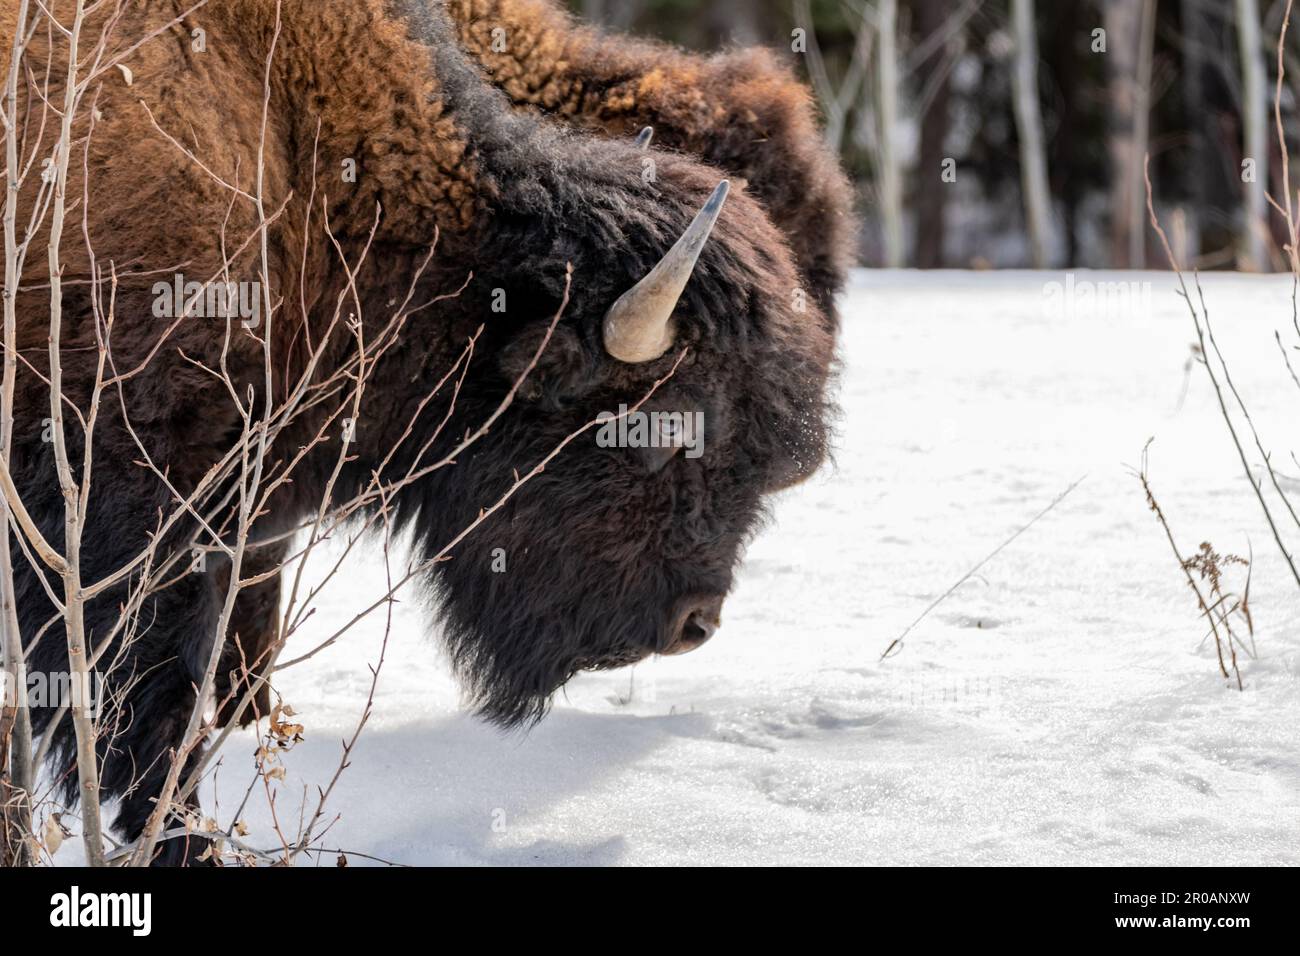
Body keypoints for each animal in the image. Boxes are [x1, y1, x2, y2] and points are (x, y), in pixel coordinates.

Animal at [0, 0, 847, 868]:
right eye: (667, 433)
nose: (694, 626)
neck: (301, 173)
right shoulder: (131, 510)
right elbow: (154, 695)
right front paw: (183, 837)